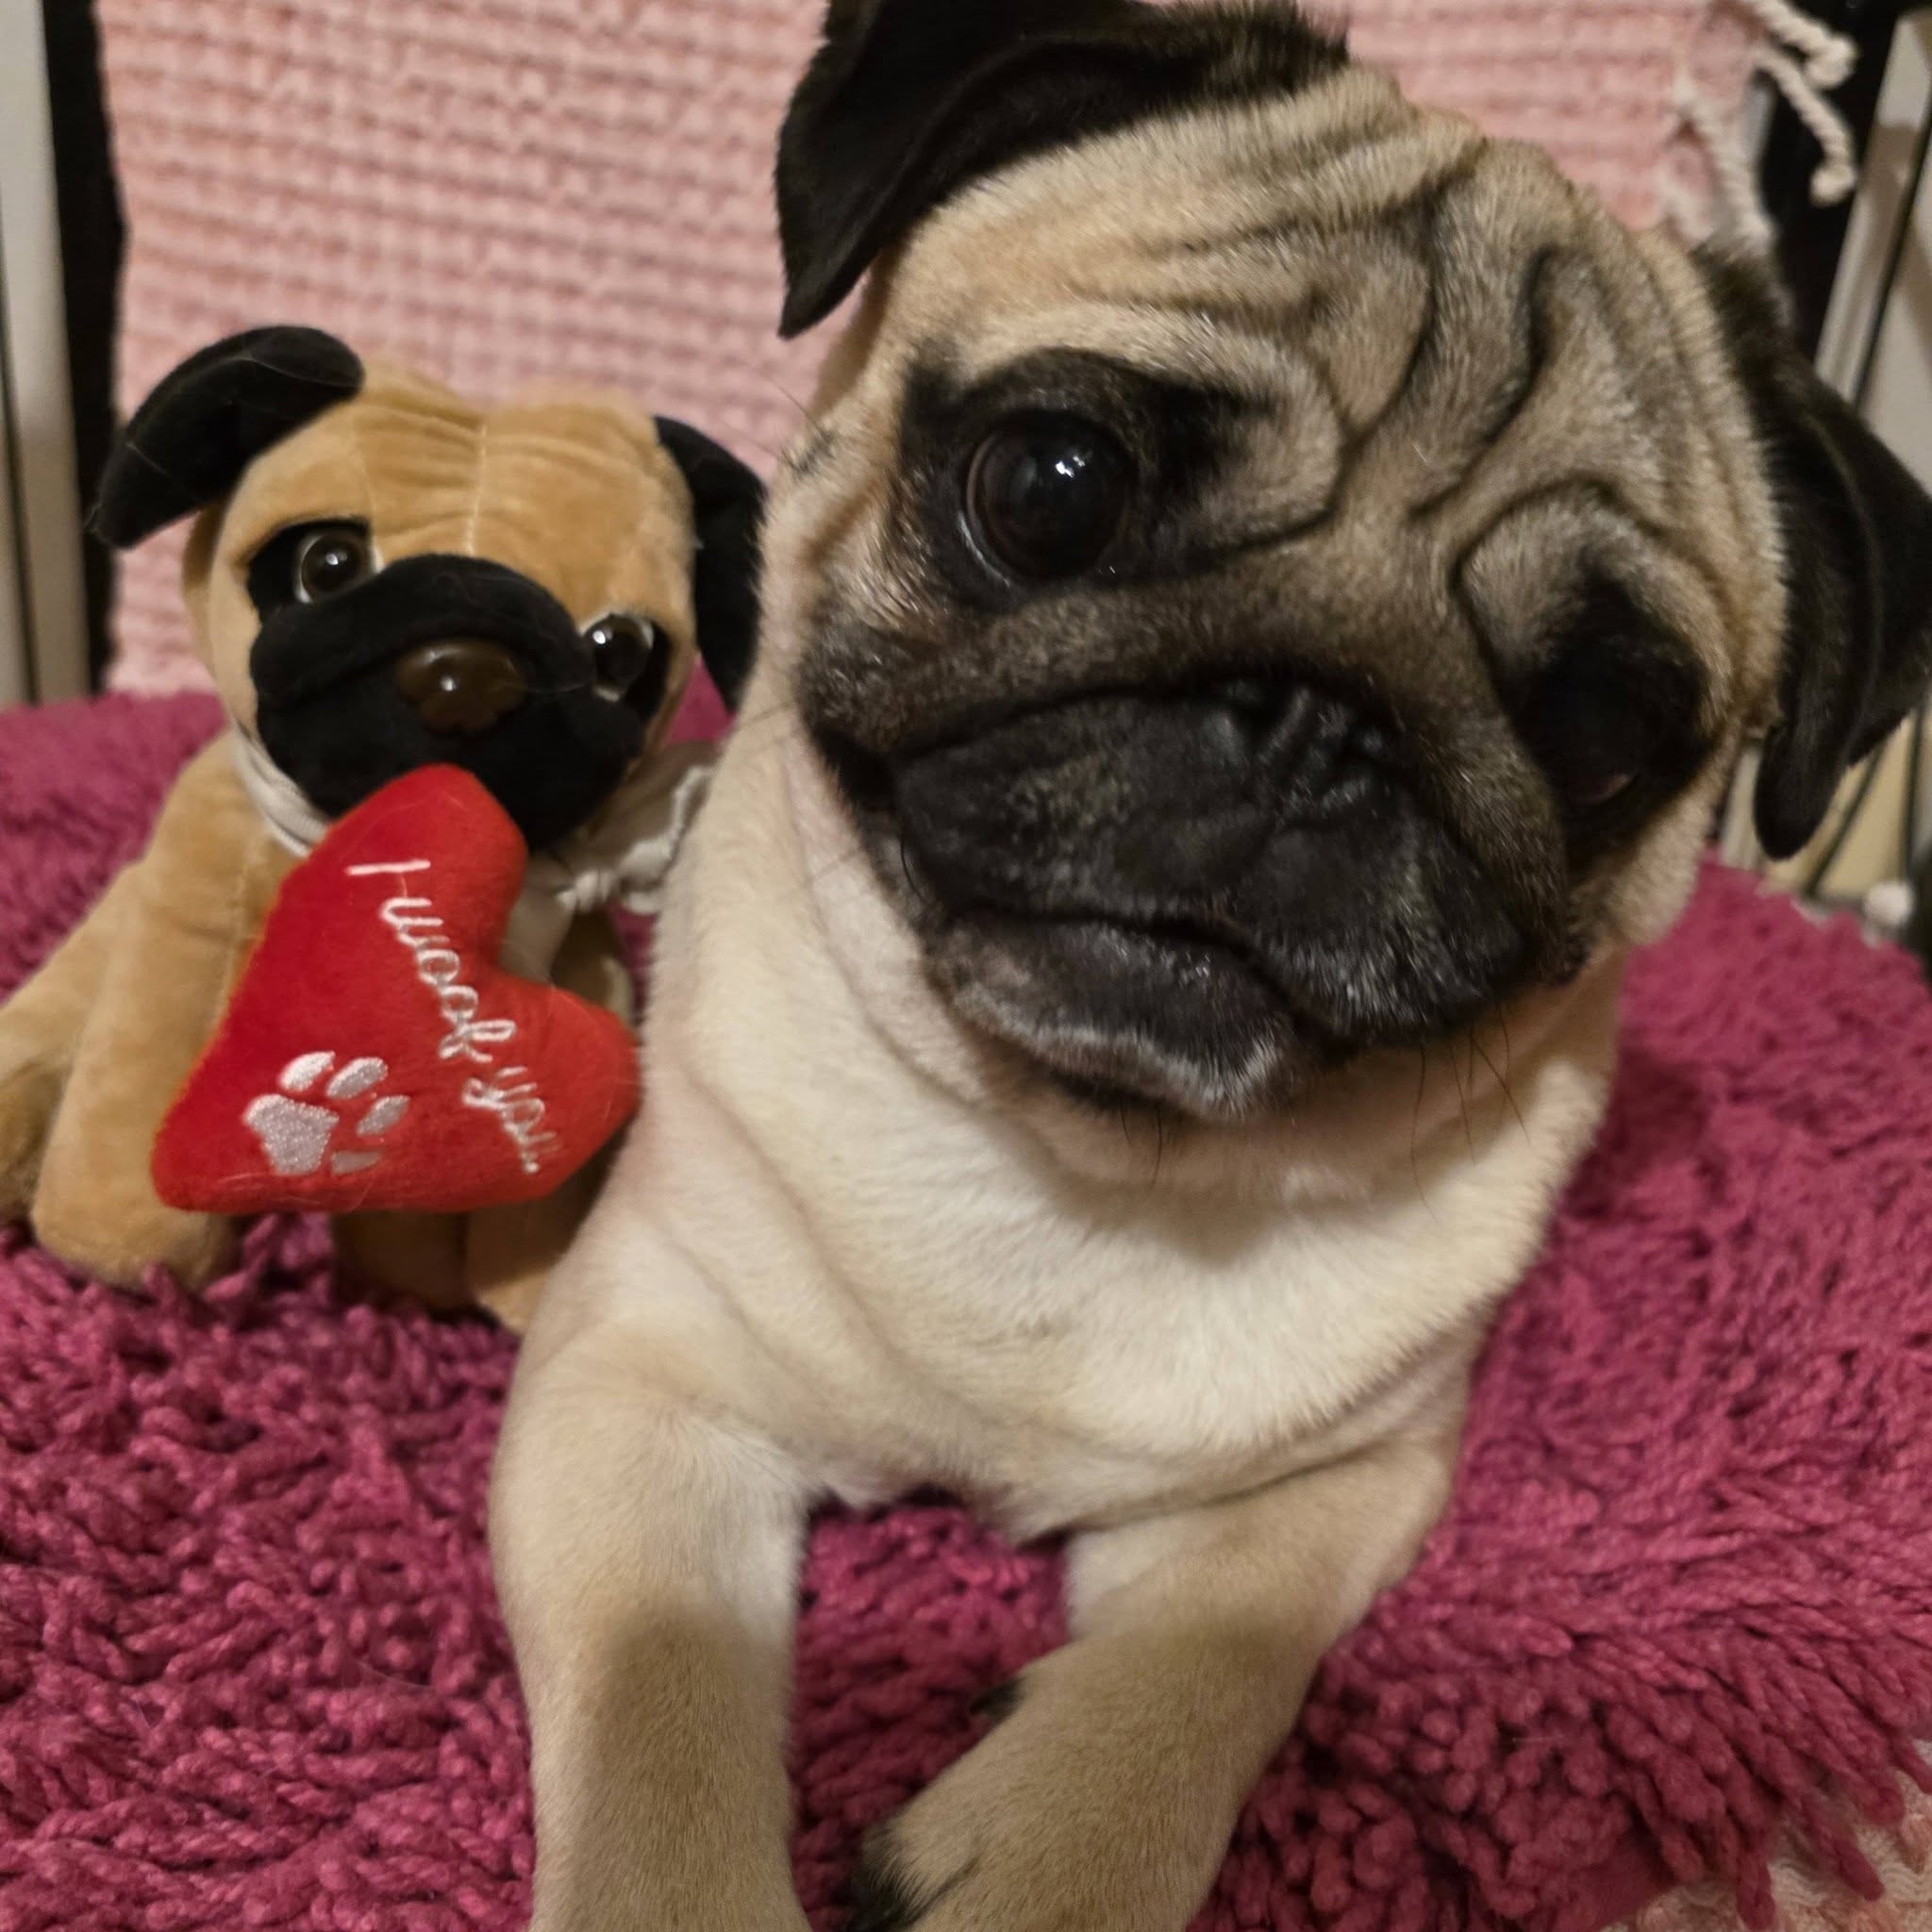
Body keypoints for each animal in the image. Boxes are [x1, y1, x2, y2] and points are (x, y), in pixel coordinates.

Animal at [489, 4, 1932, 1927]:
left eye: (1603, 728)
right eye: (1046, 489)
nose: (1315, 719)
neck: (1089, 1157)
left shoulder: (1336, 1483)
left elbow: (1196, 1674)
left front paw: (1042, 1849)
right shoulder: (642, 1376)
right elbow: (656, 1713)